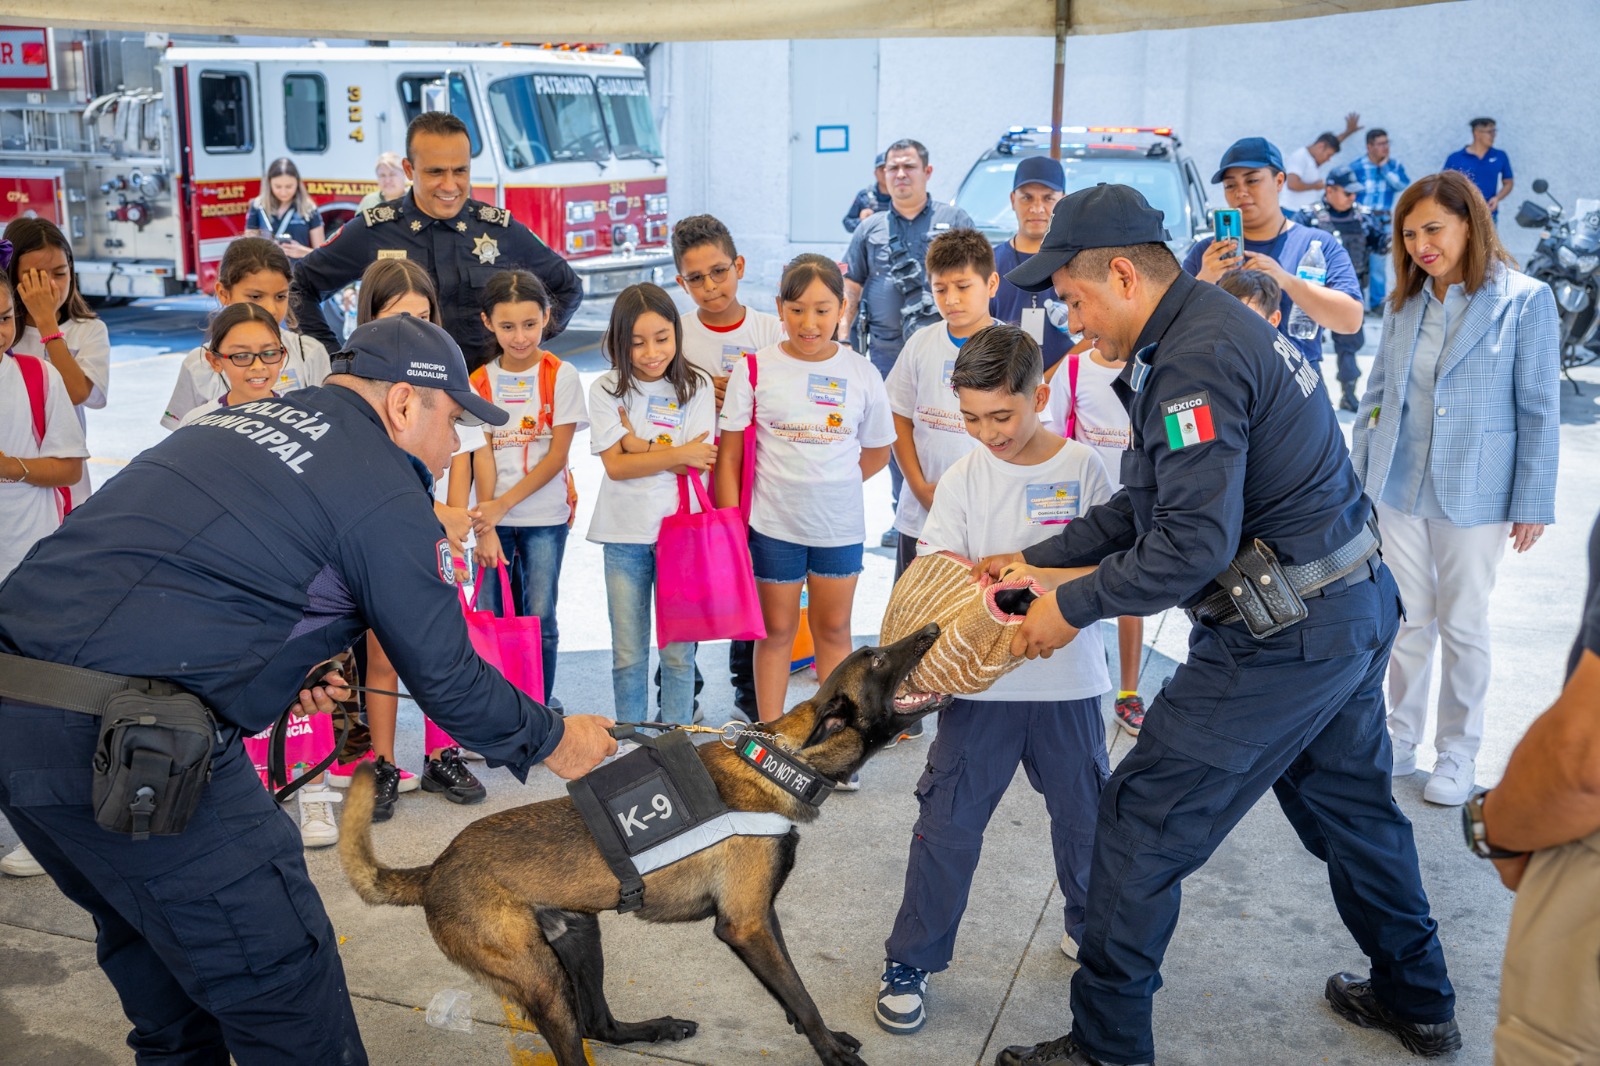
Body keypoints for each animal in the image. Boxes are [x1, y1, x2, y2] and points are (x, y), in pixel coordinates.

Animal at [339, 624, 947, 1062]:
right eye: (876, 658)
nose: (932, 628)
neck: (779, 762)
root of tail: (435, 868)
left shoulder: (761, 918)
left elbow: (794, 994)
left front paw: (824, 1037)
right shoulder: (746, 925)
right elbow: (800, 995)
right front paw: (833, 1053)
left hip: (579, 936)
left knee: (599, 1023)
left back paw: (656, 1028)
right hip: (542, 981)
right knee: (578, 1035)